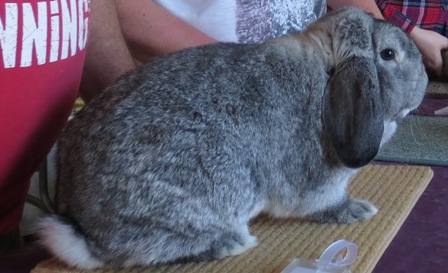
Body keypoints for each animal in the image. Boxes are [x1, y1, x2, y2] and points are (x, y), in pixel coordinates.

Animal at [39, 7, 428, 268]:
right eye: (388, 54)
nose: (424, 86)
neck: (327, 71)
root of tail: (81, 228)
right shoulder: (316, 179)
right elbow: (322, 201)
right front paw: (357, 210)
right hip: (215, 185)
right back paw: (228, 244)